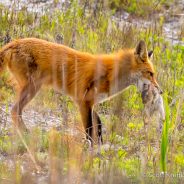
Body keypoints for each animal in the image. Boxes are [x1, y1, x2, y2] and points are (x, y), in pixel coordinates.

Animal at [0, 38, 161, 144]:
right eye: (150, 74)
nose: (161, 91)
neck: (111, 73)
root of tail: (13, 43)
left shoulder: (91, 103)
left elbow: (99, 124)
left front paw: (99, 145)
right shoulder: (83, 101)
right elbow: (89, 129)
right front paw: (90, 150)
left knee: (15, 110)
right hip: (32, 88)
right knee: (14, 110)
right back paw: (25, 134)